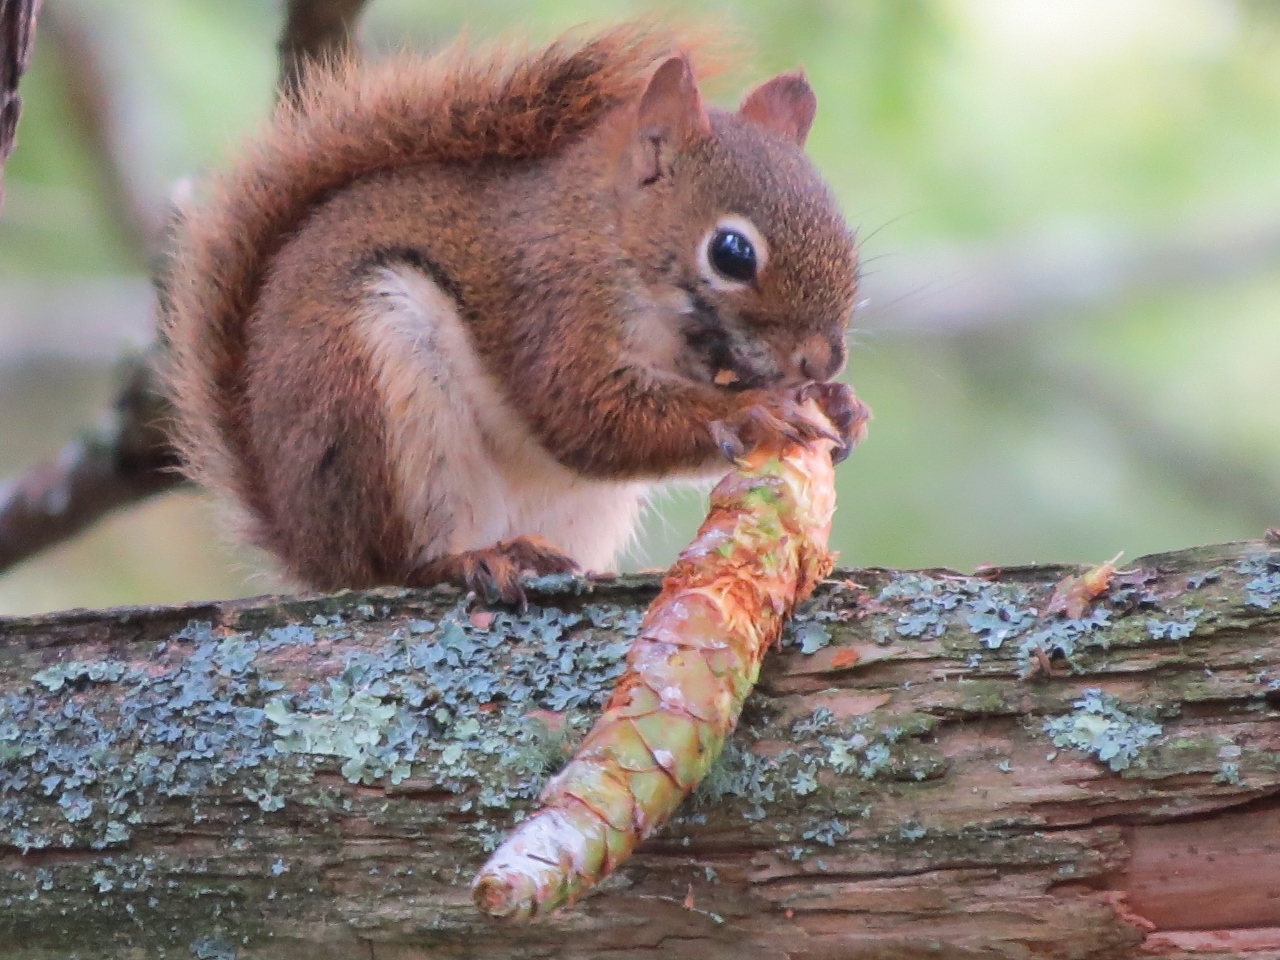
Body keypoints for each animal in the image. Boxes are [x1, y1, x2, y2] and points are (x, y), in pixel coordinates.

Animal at [157, 24, 860, 601]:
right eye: (732, 253)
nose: (823, 359)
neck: (611, 236)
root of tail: (309, 547)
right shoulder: (548, 303)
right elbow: (584, 416)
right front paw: (754, 411)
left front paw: (841, 403)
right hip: (377, 405)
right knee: (399, 564)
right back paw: (476, 559)